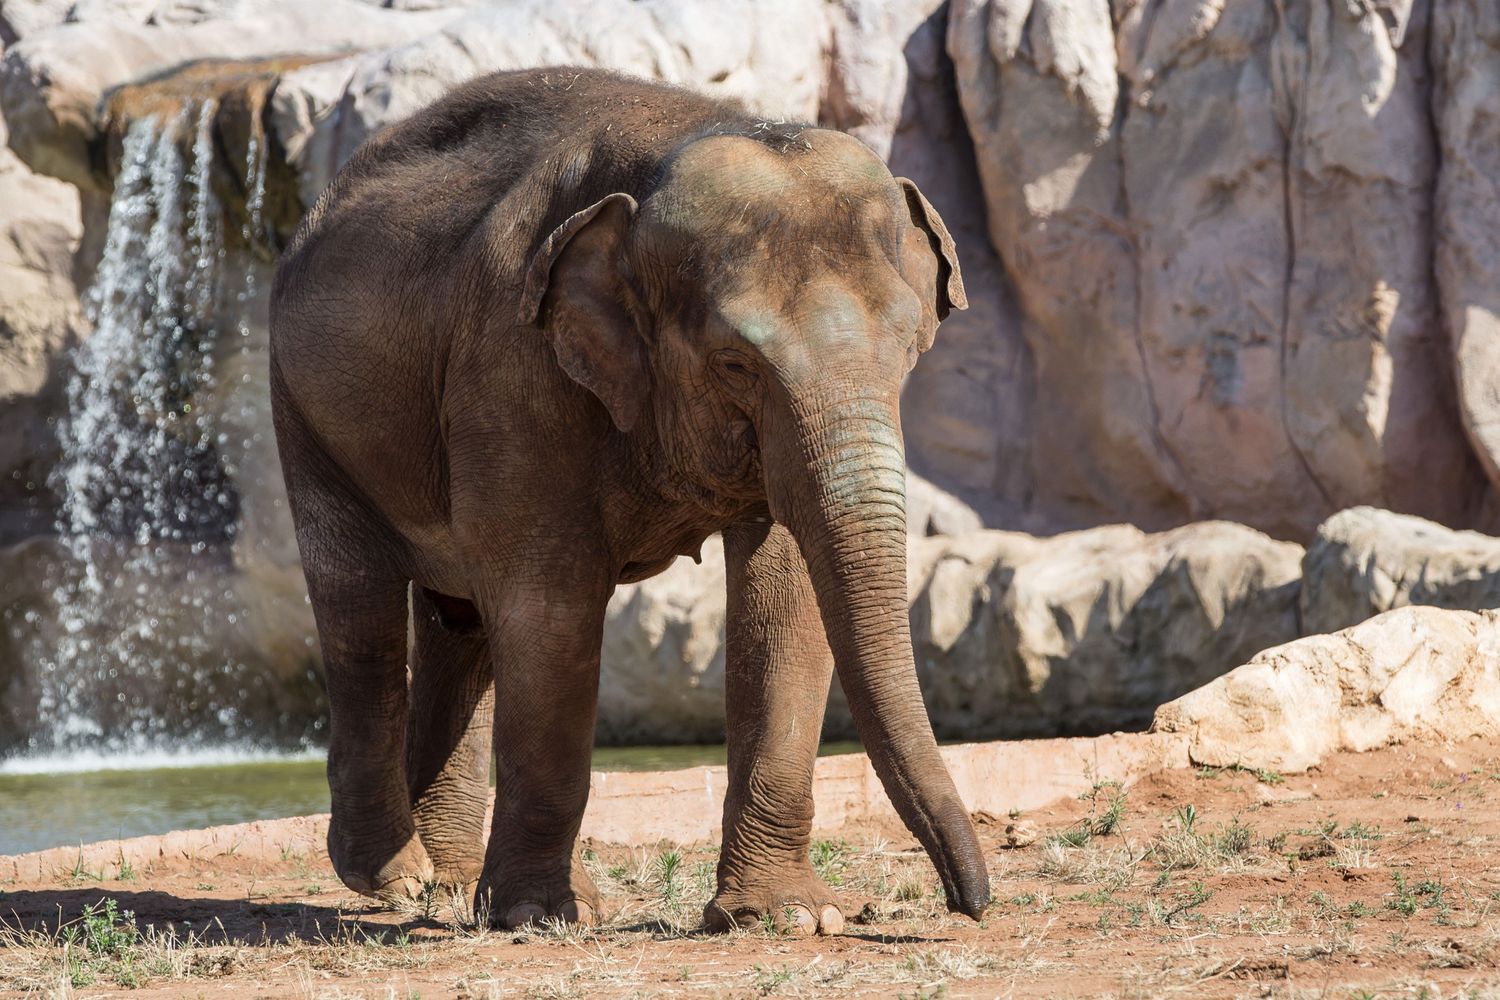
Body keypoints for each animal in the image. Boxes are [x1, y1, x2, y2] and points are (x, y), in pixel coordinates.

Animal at [269, 66, 989, 934]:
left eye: (910, 349)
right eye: (735, 362)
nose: (970, 904)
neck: (682, 142)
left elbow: (787, 598)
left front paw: (783, 917)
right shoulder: (514, 364)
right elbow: (551, 606)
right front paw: (543, 917)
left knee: (458, 620)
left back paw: (446, 886)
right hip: (305, 415)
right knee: (361, 611)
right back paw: (392, 878)